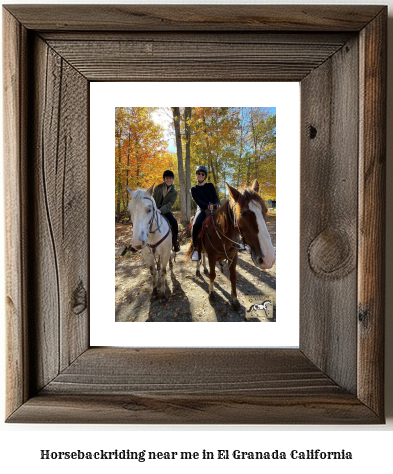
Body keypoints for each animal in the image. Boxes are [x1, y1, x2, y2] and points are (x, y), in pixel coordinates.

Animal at [185, 180, 274, 310]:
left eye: (265, 210)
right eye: (243, 214)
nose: (268, 258)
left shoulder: (233, 257)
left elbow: (233, 277)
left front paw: (235, 300)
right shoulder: (212, 257)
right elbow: (212, 275)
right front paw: (211, 295)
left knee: (202, 255)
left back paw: (204, 268)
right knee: (199, 255)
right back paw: (198, 270)